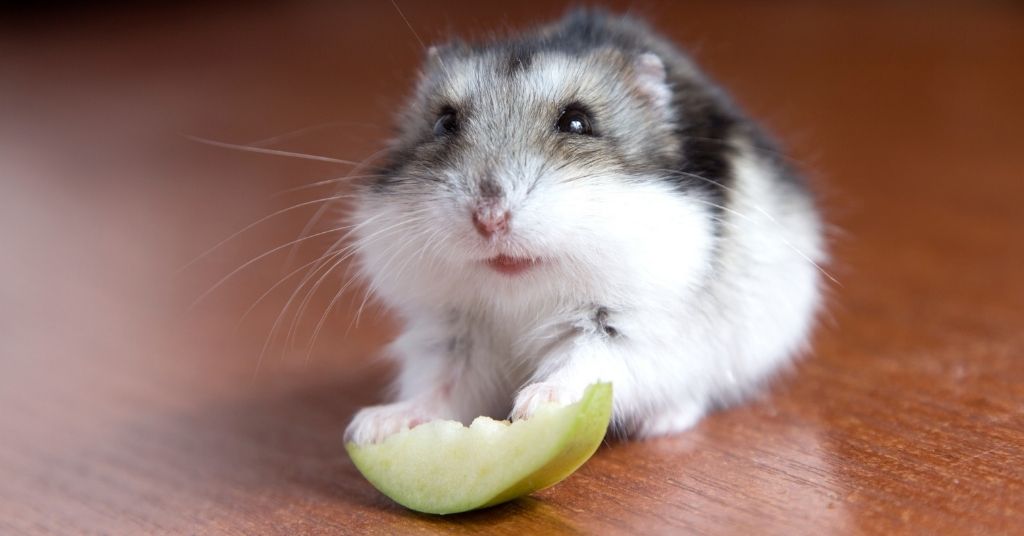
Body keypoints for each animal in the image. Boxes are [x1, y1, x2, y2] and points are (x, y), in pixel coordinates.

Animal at [342, 9, 823, 444]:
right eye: (444, 122)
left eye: (577, 122)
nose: (489, 220)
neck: (519, 294)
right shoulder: (450, 333)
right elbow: (441, 386)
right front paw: (369, 427)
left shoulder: (626, 327)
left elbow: (586, 360)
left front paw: (534, 404)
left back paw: (659, 422)